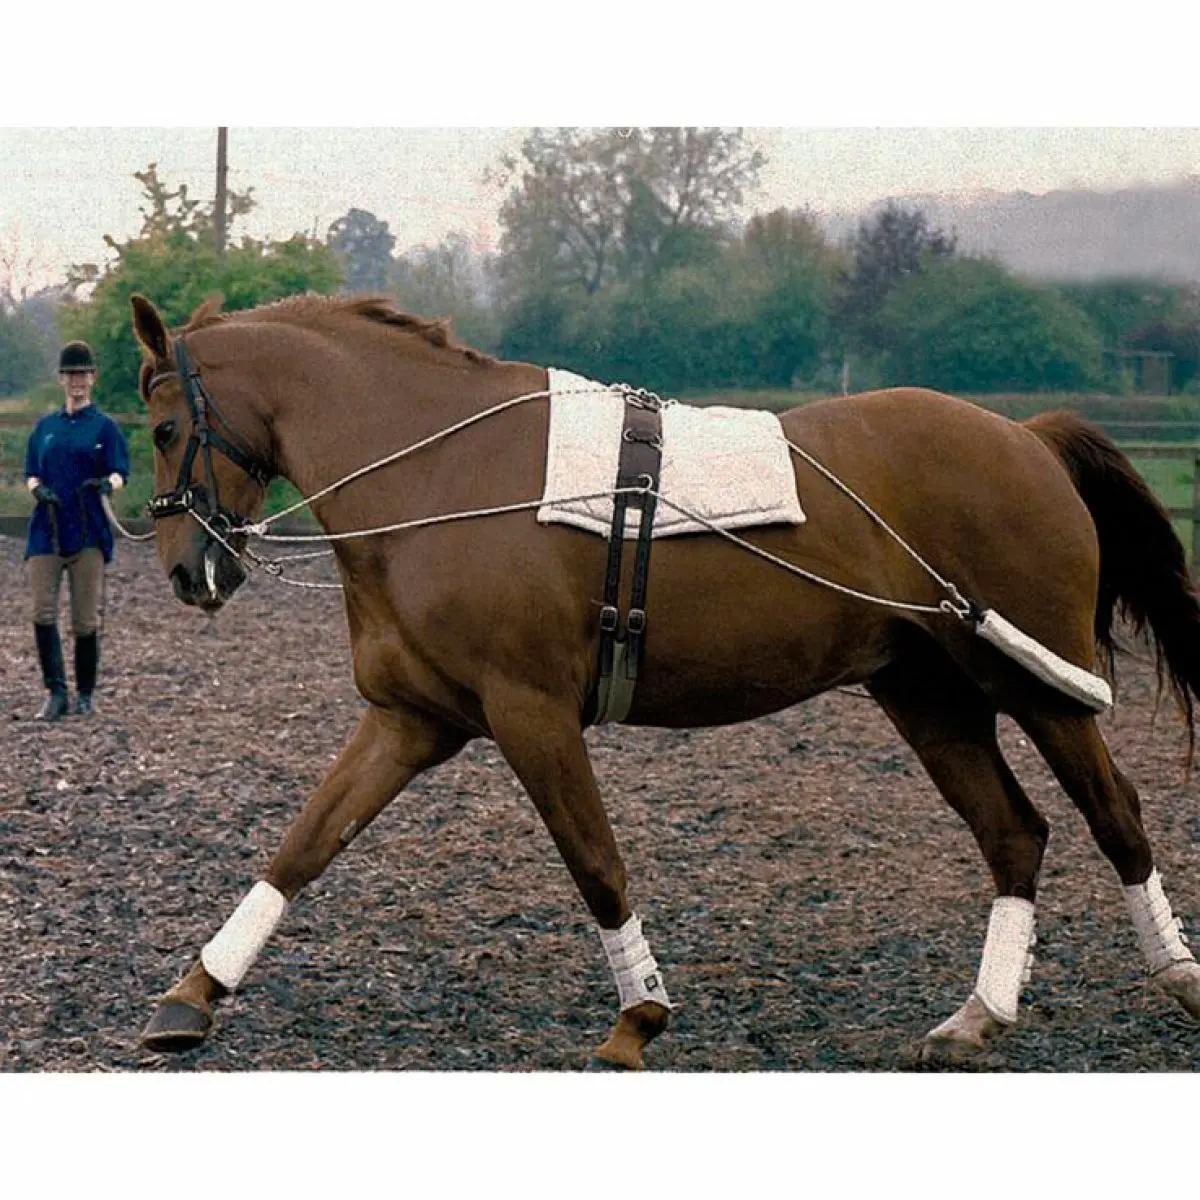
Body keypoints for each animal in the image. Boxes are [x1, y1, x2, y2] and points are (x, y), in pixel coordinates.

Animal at [128, 290, 1200, 1069]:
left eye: (163, 427)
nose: (186, 571)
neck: (441, 476)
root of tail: (1026, 437)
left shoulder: (531, 715)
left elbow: (596, 862)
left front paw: (638, 1019)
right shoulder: (412, 719)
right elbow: (304, 845)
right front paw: (192, 997)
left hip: (1036, 685)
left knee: (1116, 813)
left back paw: (1176, 975)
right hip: (930, 695)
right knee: (1014, 832)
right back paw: (978, 1016)